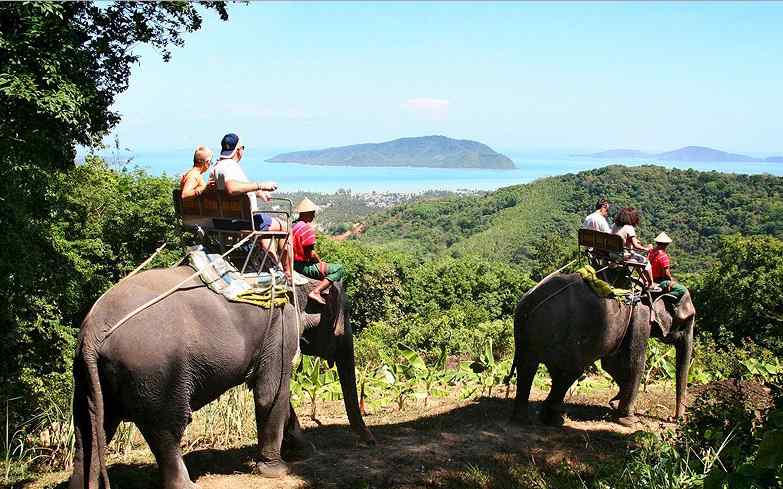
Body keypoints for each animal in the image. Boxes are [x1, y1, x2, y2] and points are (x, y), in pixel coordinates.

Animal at [508, 272, 700, 426]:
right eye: (689, 318)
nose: (673, 419)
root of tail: (528, 302)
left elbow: (612, 364)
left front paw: (614, 404)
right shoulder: (640, 318)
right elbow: (634, 363)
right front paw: (628, 420)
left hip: (530, 336)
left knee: (528, 367)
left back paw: (526, 419)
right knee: (568, 373)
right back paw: (554, 420)